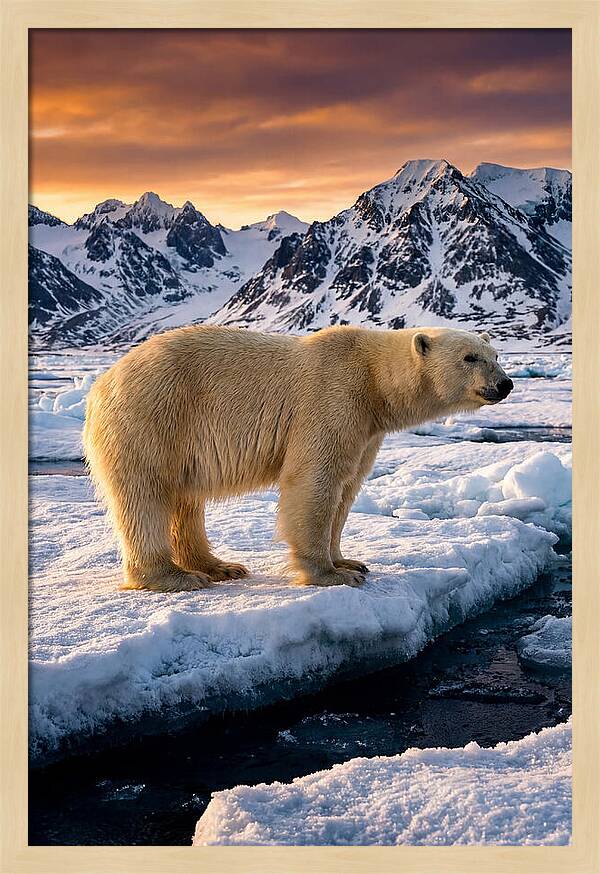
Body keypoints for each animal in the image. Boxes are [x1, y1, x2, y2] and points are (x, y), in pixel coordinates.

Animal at [83, 324, 513, 592]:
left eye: (495, 354)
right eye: (470, 357)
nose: (505, 383)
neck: (373, 380)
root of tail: (102, 383)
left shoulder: (366, 429)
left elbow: (347, 487)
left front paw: (349, 562)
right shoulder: (333, 397)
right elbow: (314, 481)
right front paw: (330, 575)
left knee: (186, 500)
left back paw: (219, 566)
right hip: (154, 416)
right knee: (146, 494)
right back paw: (174, 576)